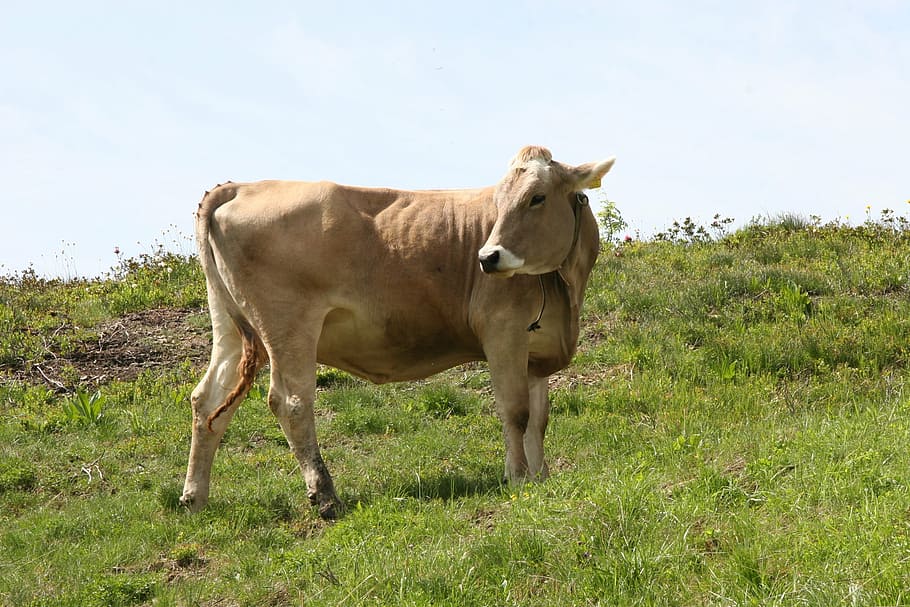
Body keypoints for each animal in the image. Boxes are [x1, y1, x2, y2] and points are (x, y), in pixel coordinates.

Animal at [180, 145, 615, 519]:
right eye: (498, 202)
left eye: (537, 198)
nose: (487, 257)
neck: (565, 292)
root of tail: (241, 186)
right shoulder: (503, 332)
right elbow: (516, 411)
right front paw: (520, 477)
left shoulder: (537, 349)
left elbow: (540, 417)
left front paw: (541, 476)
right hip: (287, 325)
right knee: (291, 402)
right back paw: (325, 496)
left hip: (230, 325)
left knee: (208, 399)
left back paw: (194, 497)